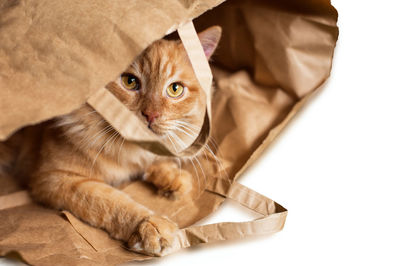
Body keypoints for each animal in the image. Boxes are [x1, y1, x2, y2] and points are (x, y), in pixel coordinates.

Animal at [0, 26, 222, 256]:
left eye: (175, 89)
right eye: (129, 82)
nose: (151, 115)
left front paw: (172, 178)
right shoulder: (56, 178)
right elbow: (111, 201)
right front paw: (150, 225)